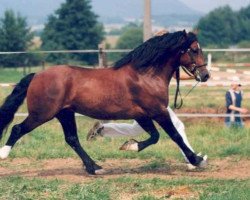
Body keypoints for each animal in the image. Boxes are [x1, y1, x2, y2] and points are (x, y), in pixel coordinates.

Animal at [0, 30, 209, 175]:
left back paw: (95, 167)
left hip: (65, 113)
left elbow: (155, 136)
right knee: (18, 129)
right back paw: (3, 154)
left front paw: (129, 146)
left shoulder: (142, 115)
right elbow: (174, 135)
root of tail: (37, 75)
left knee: (72, 139)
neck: (145, 75)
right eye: (194, 49)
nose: (206, 75)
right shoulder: (158, 111)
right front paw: (197, 160)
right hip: (42, 114)